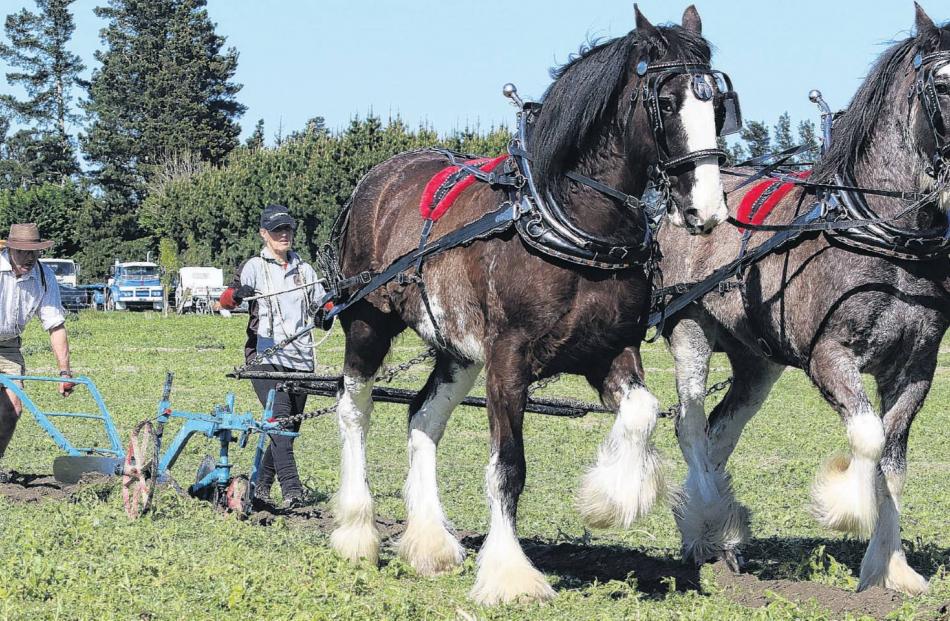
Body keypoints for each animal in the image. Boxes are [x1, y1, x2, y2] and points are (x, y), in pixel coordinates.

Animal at [330, 6, 732, 604]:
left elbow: (642, 410)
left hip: (457, 349)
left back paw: (430, 543)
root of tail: (373, 181)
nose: (707, 210)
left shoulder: (610, 349)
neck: (573, 220)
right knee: (354, 408)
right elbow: (508, 467)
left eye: (720, 107)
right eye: (664, 103)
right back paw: (357, 533)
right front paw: (510, 574)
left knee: (422, 416)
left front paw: (607, 500)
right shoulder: (508, 360)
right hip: (367, 322)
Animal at [660, 3, 950, 596]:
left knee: (721, 431)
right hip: (689, 328)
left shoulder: (917, 366)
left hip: (758, 360)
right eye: (942, 83)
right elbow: (867, 437)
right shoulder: (828, 355)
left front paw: (891, 567)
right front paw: (845, 505)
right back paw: (701, 530)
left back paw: (720, 536)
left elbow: (893, 460)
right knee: (691, 426)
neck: (884, 234)